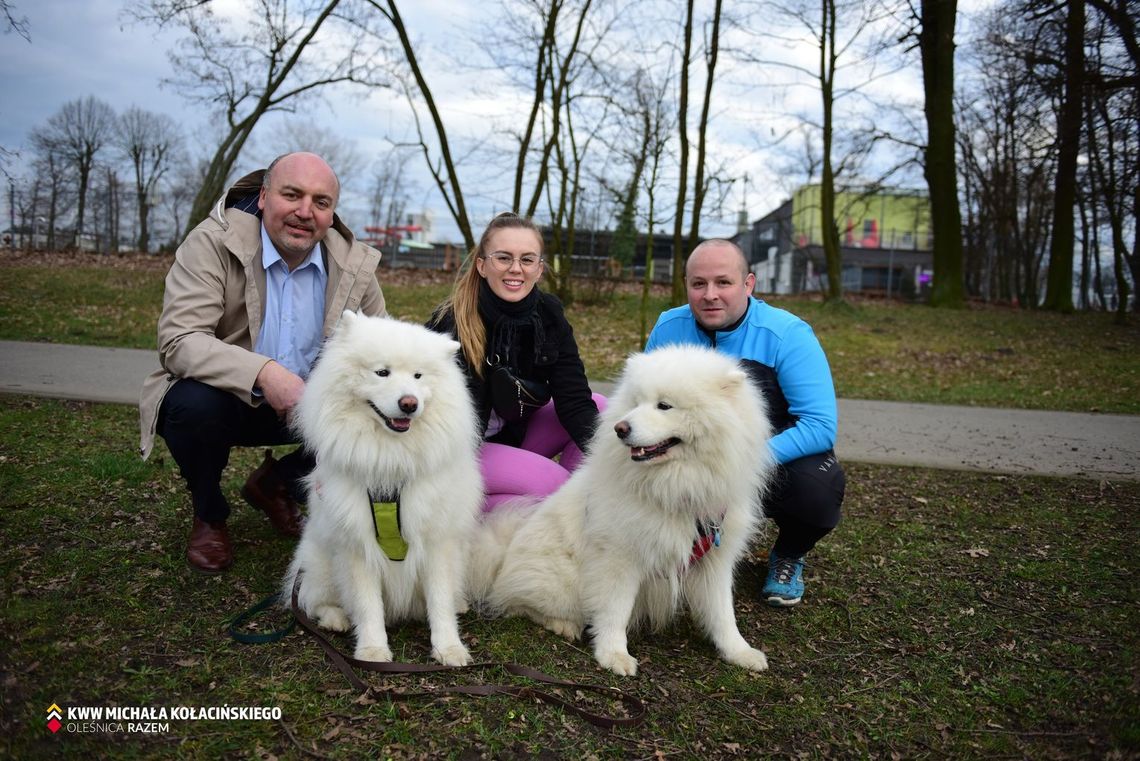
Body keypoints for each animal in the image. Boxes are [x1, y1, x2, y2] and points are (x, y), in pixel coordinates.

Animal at [285, 309, 485, 665]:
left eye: (418, 376)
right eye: (382, 372)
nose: (409, 403)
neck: (391, 462)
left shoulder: (437, 542)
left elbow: (440, 601)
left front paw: (449, 649)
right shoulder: (357, 545)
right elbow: (367, 606)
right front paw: (372, 651)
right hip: (320, 564)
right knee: (313, 600)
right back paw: (335, 618)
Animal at [467, 341, 779, 674]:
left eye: (664, 406)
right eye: (636, 402)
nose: (620, 428)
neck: (675, 489)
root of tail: (505, 551)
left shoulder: (716, 559)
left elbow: (723, 613)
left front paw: (739, 652)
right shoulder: (620, 556)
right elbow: (615, 610)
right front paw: (613, 655)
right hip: (561, 583)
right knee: (519, 603)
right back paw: (562, 624)